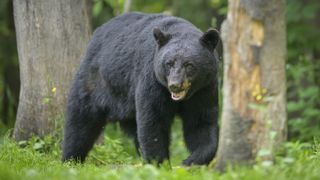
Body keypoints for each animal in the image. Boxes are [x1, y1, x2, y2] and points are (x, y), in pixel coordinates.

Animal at [61, 11, 219, 166]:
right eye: (169, 63)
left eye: (189, 65)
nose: (174, 85)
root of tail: (97, 33)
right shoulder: (152, 79)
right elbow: (153, 120)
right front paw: (160, 164)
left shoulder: (204, 89)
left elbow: (200, 123)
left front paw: (190, 161)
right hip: (95, 81)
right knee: (80, 121)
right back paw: (70, 159)